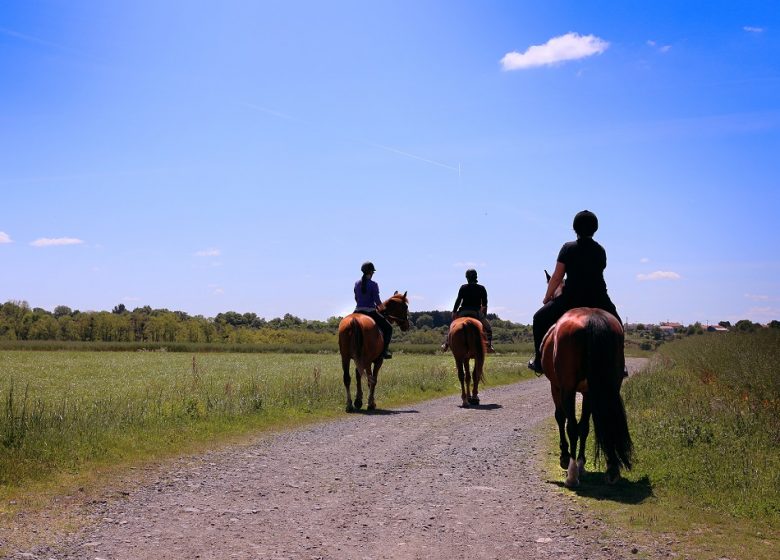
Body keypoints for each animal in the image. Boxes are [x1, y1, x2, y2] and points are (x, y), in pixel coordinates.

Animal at [544, 306, 632, 486]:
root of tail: (592, 319)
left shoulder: (556, 387)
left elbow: (561, 418)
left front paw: (565, 458)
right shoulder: (588, 392)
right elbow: (584, 427)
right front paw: (582, 463)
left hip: (568, 389)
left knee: (571, 426)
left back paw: (572, 474)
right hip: (607, 386)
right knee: (600, 422)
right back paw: (611, 469)